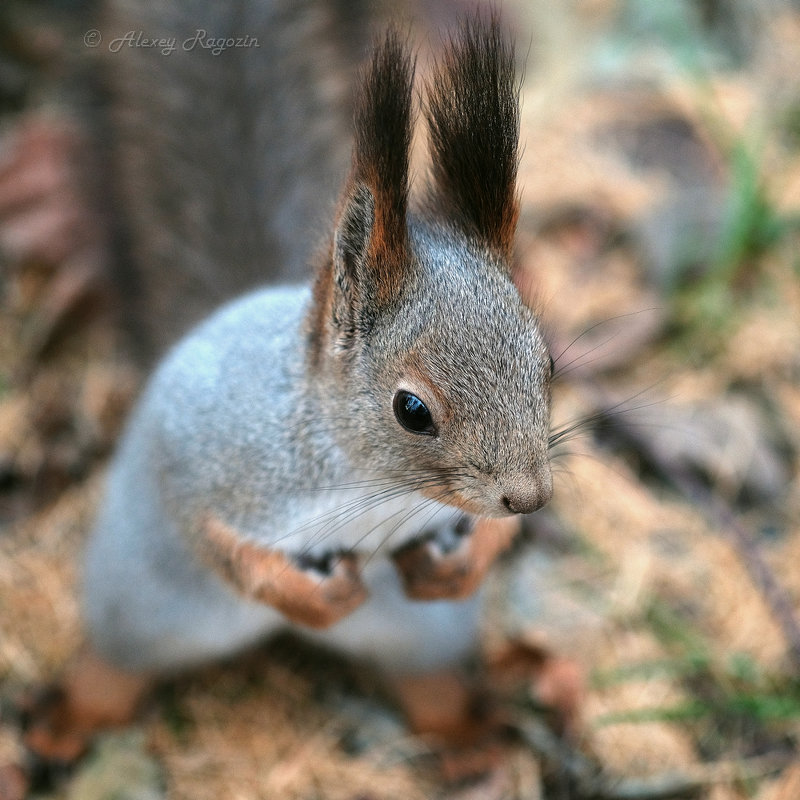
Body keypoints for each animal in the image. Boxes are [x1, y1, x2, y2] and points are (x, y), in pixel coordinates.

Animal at [20, 6, 556, 760]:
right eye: (412, 409)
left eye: (548, 364)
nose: (527, 497)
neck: (366, 480)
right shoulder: (202, 455)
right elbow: (211, 540)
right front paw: (312, 596)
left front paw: (472, 557)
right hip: (139, 601)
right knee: (116, 666)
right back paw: (73, 717)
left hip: (422, 633)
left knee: (427, 684)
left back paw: (467, 734)